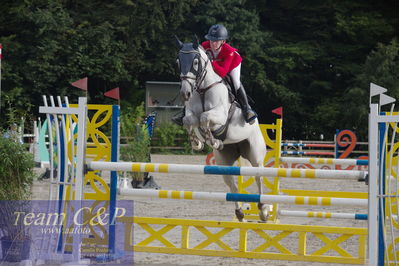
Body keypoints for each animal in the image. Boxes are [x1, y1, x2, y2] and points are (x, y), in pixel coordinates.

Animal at [176, 36, 268, 221]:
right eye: (178, 61)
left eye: (195, 62)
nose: (185, 94)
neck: (203, 88)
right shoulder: (190, 114)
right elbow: (190, 120)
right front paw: (197, 142)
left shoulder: (220, 115)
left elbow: (204, 118)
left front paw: (213, 140)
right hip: (224, 161)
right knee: (232, 184)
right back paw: (240, 213)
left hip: (255, 155)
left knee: (258, 177)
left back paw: (263, 210)